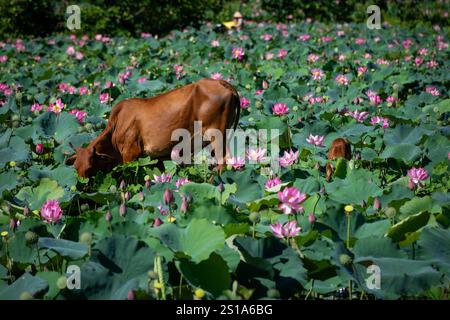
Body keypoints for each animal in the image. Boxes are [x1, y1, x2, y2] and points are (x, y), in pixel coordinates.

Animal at [66, 78, 239, 178]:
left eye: (89, 168)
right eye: (75, 168)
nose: (82, 189)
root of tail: (224, 84)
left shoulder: (130, 154)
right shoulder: (158, 159)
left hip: (216, 136)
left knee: (224, 162)